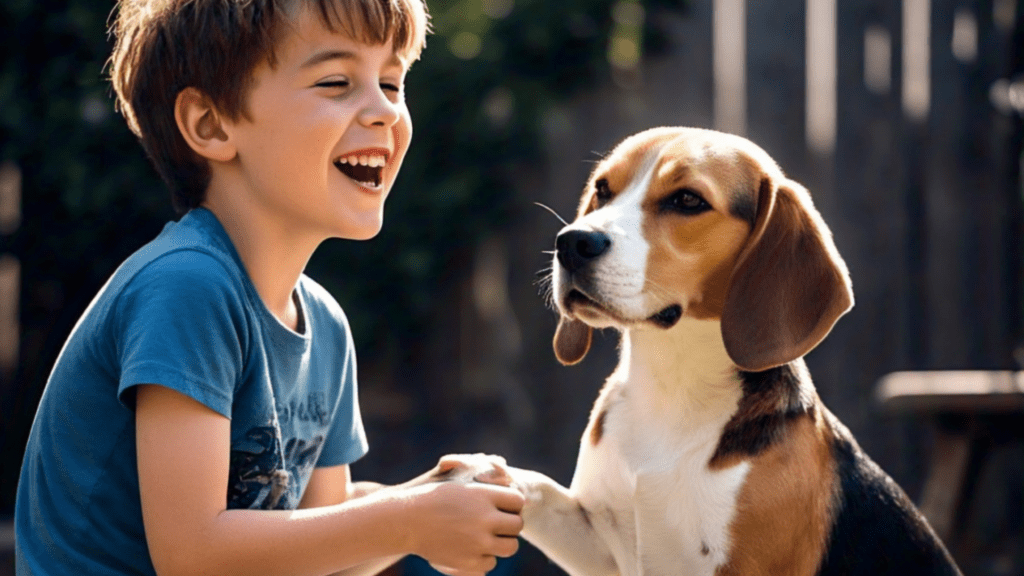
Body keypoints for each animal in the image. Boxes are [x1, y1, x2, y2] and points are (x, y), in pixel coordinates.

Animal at [507, 129, 962, 573]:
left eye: (687, 200)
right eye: (602, 189)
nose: (571, 243)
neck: (672, 383)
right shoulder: (599, 545)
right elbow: (538, 490)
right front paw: (490, 474)